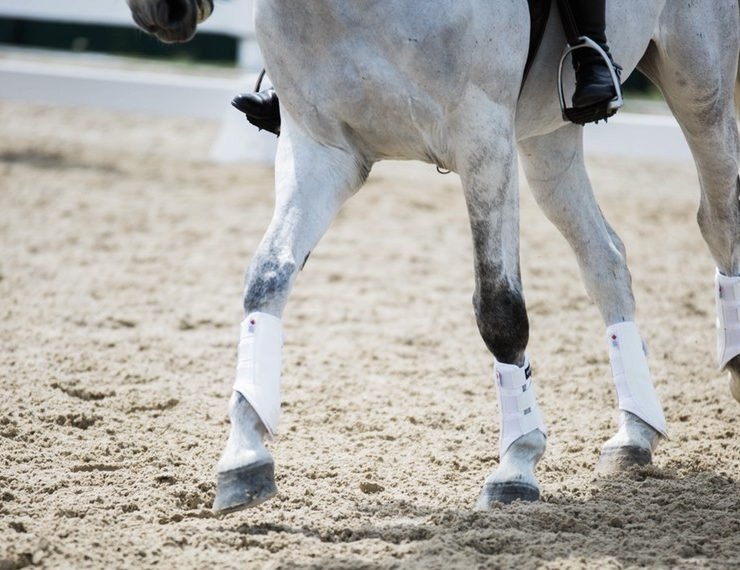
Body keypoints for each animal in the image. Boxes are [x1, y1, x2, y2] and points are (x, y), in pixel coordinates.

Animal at [124, 0, 740, 514]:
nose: (161, 13)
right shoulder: (319, 149)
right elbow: (267, 275)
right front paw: (245, 456)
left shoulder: (483, 137)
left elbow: (499, 309)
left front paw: (516, 466)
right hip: (548, 131)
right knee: (604, 255)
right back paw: (635, 433)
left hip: (698, 83)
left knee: (720, 217)